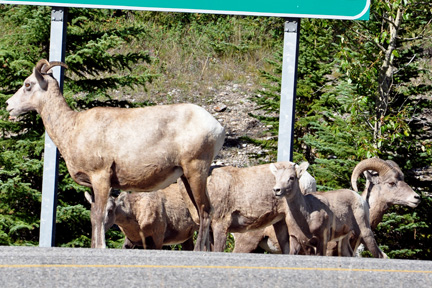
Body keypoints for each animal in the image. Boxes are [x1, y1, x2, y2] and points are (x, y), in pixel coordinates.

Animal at [5, 59, 226, 250]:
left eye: (28, 84)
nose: (8, 105)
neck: (72, 128)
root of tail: (217, 127)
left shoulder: (101, 176)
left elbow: (100, 214)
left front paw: (101, 246)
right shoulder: (95, 184)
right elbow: (94, 215)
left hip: (196, 169)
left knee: (205, 211)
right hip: (186, 177)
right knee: (201, 212)